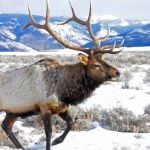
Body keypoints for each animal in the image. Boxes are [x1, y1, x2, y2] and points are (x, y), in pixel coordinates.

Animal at [0, 0, 123, 150]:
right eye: (96, 65)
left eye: (104, 60)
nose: (117, 72)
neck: (64, 91)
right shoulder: (44, 107)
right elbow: (48, 133)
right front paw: (52, 142)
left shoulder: (62, 108)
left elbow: (71, 123)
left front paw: (57, 141)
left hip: (14, 111)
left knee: (6, 126)